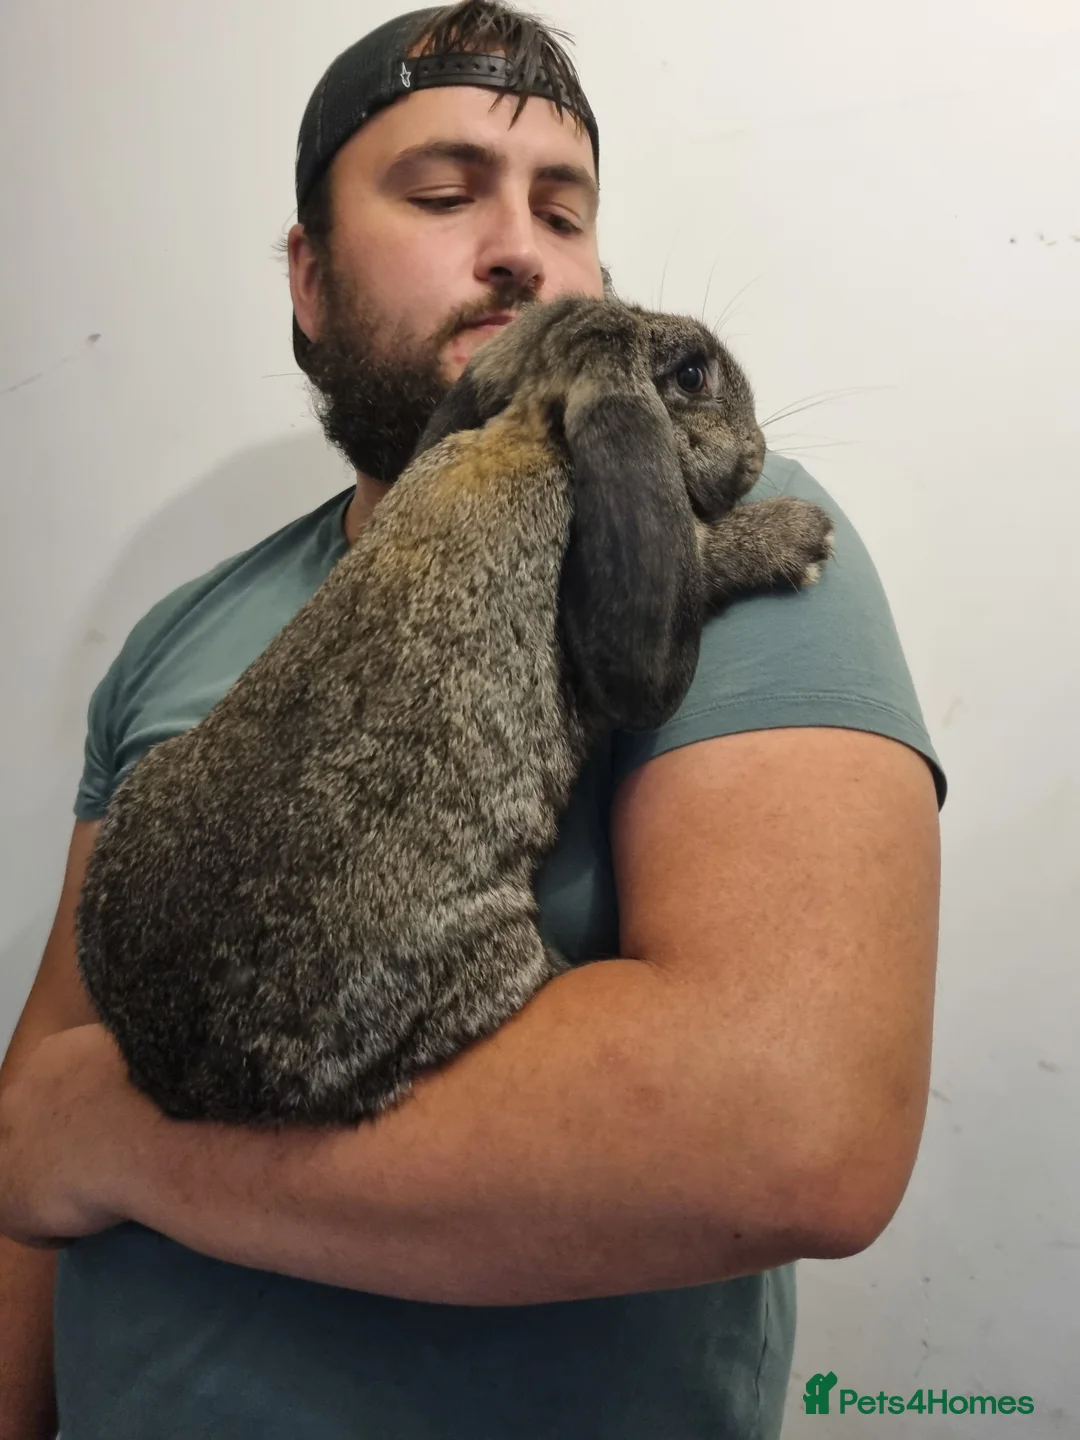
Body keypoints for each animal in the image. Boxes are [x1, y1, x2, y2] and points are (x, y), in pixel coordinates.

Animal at [75, 295, 835, 1128]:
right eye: (693, 376)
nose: (757, 453)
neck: (532, 432)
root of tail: (177, 1076)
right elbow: (706, 565)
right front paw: (799, 534)